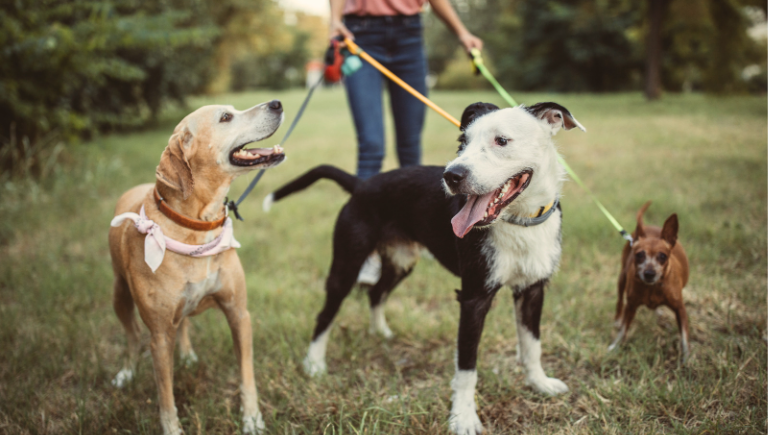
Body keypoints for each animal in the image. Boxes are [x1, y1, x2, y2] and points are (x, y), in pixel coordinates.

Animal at [109, 100, 284, 434]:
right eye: (226, 117)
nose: (277, 103)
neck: (198, 226)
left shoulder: (238, 313)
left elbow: (246, 374)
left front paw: (252, 418)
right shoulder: (159, 336)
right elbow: (165, 394)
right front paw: (172, 428)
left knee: (183, 323)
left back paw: (187, 354)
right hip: (120, 295)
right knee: (131, 336)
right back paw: (126, 371)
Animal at [264, 103, 584, 435]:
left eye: (502, 141)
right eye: (463, 141)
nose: (452, 176)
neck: (519, 221)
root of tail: (362, 184)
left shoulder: (533, 290)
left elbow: (532, 345)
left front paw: (539, 384)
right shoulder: (473, 298)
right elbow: (467, 366)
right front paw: (463, 417)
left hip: (401, 262)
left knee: (377, 293)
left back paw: (381, 332)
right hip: (347, 264)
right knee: (326, 314)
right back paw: (314, 364)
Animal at [608, 203, 692, 362]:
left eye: (663, 256)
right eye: (639, 255)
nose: (649, 273)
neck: (653, 287)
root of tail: (646, 226)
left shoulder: (680, 309)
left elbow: (685, 336)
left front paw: (686, 357)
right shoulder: (631, 306)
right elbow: (623, 329)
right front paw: (615, 347)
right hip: (621, 279)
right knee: (619, 301)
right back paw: (617, 319)